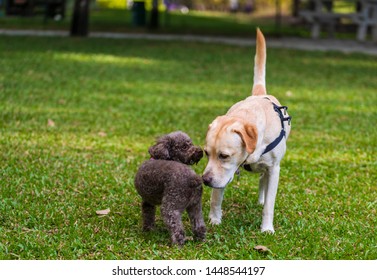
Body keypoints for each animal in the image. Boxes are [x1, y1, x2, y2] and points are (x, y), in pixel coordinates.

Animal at [203, 29, 290, 234]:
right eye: (206, 153)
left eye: (224, 155)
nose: (205, 180)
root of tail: (260, 93)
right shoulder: (221, 176)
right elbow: (216, 198)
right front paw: (214, 220)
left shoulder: (274, 169)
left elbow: (270, 205)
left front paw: (266, 228)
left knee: (263, 181)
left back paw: (261, 200)